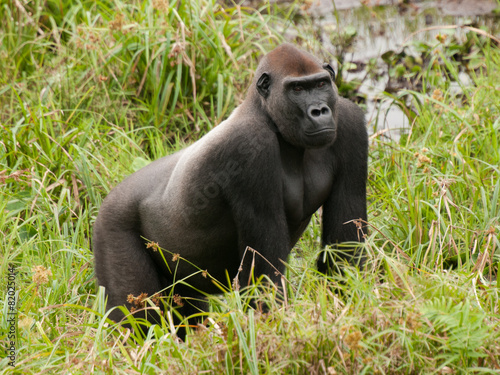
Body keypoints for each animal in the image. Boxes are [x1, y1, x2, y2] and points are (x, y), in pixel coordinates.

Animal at [93, 42, 368, 334]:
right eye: (297, 89)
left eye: (321, 84)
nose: (319, 111)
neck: (265, 114)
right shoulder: (248, 147)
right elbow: (264, 278)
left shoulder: (349, 122)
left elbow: (345, 250)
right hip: (111, 223)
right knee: (137, 319)